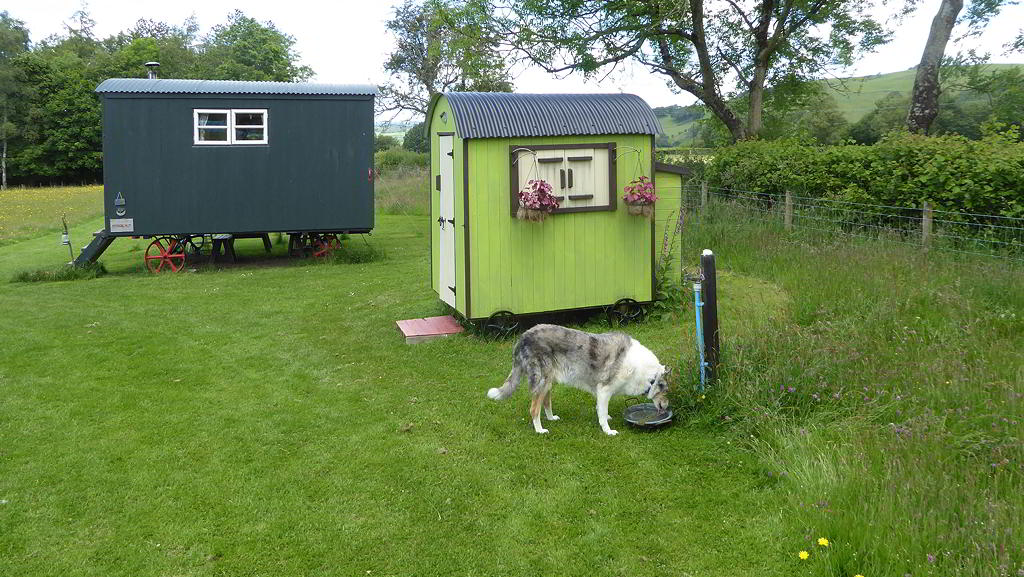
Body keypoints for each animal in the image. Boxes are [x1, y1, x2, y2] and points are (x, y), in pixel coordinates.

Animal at [487, 323, 671, 436]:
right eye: (665, 389)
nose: (666, 406)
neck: (645, 372)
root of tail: (522, 337)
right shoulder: (604, 389)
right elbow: (602, 412)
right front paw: (608, 431)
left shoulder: (602, 393)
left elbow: (602, 410)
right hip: (541, 380)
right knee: (534, 409)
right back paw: (540, 430)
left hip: (548, 381)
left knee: (546, 402)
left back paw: (551, 418)